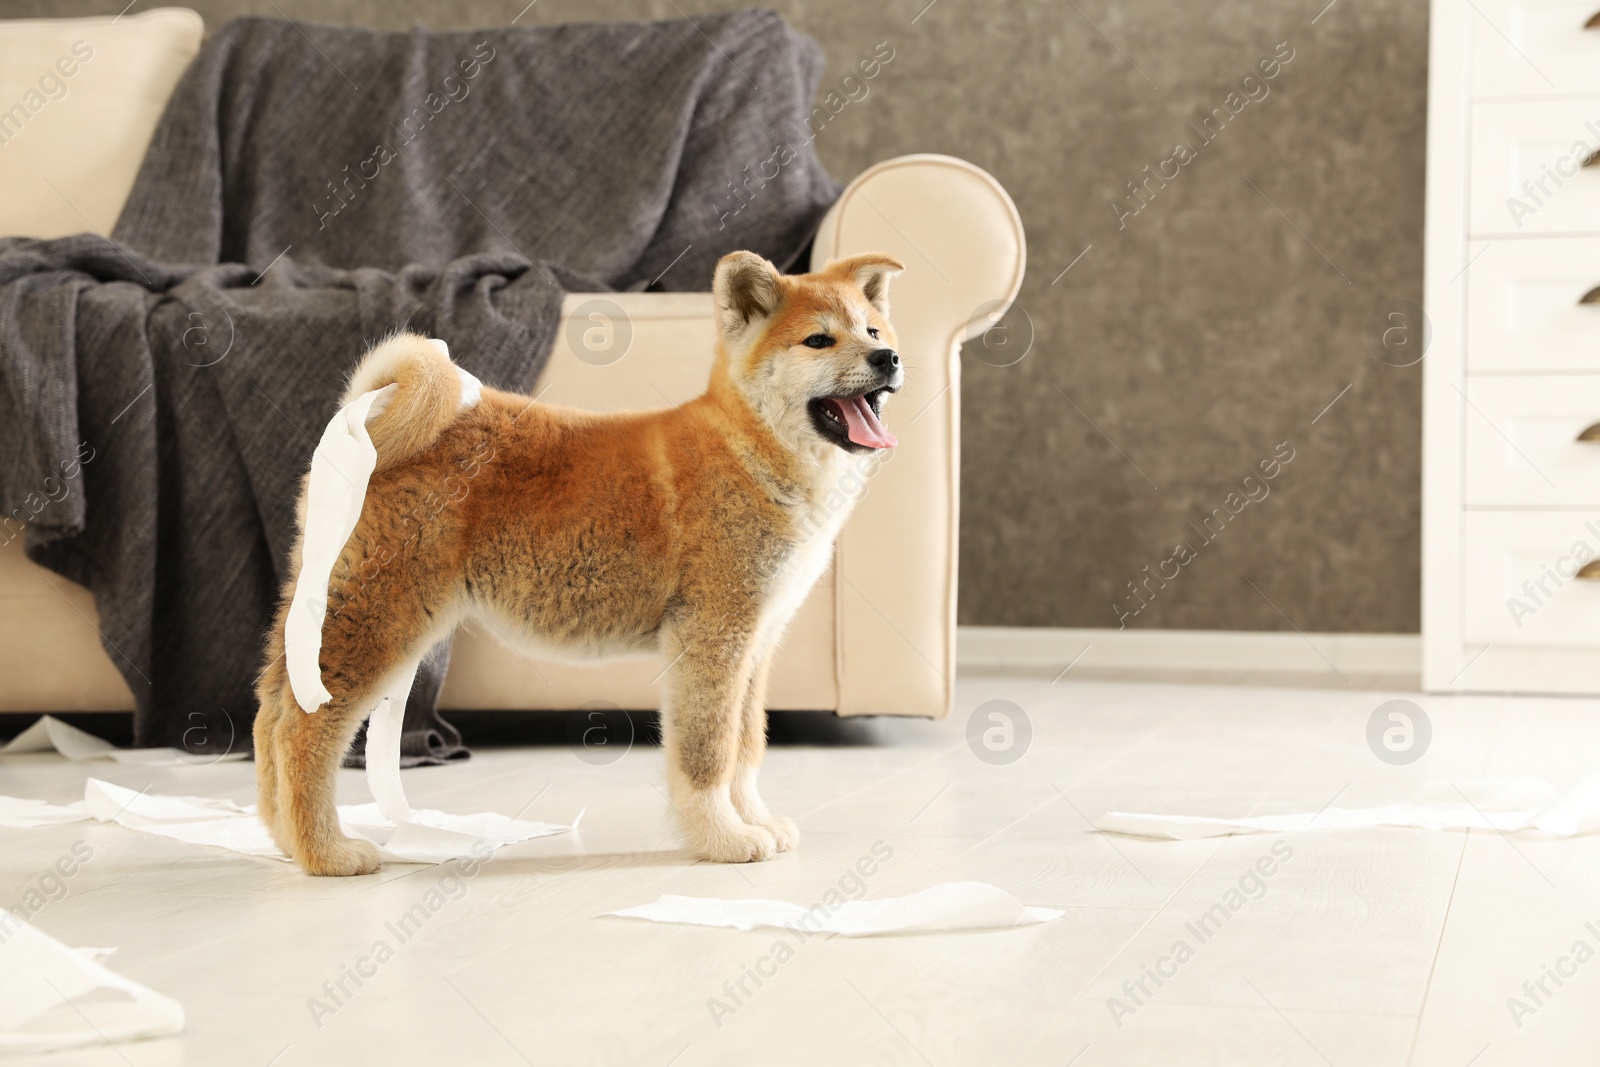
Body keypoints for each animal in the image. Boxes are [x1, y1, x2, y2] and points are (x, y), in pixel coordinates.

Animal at [248, 251, 902, 876]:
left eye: (872, 330)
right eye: (818, 341)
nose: (890, 357)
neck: (751, 451)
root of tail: (377, 407)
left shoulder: (755, 644)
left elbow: (745, 748)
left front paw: (755, 822)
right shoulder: (714, 636)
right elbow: (709, 753)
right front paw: (724, 839)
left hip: (330, 601)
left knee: (270, 712)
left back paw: (285, 840)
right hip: (381, 615)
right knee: (304, 727)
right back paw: (327, 853)